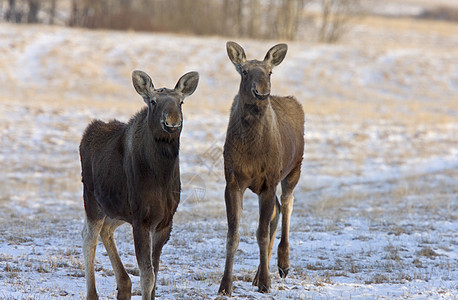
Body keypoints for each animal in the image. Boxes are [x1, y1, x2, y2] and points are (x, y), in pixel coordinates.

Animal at [78, 69, 199, 298]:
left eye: (180, 102)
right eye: (153, 101)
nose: (172, 121)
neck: (162, 175)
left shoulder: (164, 222)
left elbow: (155, 273)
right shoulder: (142, 220)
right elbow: (148, 275)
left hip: (117, 210)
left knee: (106, 230)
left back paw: (123, 285)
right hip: (92, 200)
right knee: (89, 236)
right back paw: (93, 294)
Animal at [218, 42, 304, 296]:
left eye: (270, 72)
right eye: (244, 71)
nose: (262, 92)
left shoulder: (269, 181)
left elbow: (261, 233)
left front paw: (266, 283)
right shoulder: (233, 182)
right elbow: (233, 235)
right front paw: (225, 285)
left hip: (293, 170)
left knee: (287, 204)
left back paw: (282, 264)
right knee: (278, 210)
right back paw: (258, 274)